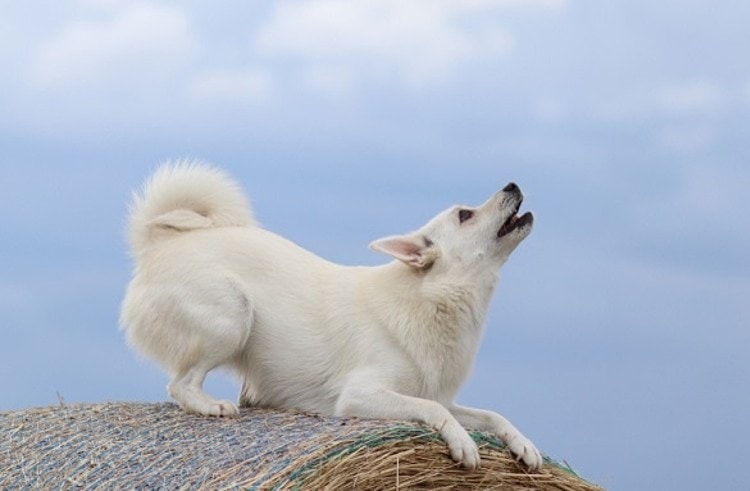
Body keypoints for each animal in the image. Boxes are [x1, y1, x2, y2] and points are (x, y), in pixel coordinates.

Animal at [122, 161, 548, 468]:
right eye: (464, 215)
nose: (512, 185)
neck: (431, 298)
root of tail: (160, 244)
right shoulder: (360, 395)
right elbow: (433, 410)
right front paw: (462, 442)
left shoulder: (439, 396)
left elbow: (490, 414)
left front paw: (523, 444)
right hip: (233, 314)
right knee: (180, 385)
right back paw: (210, 405)